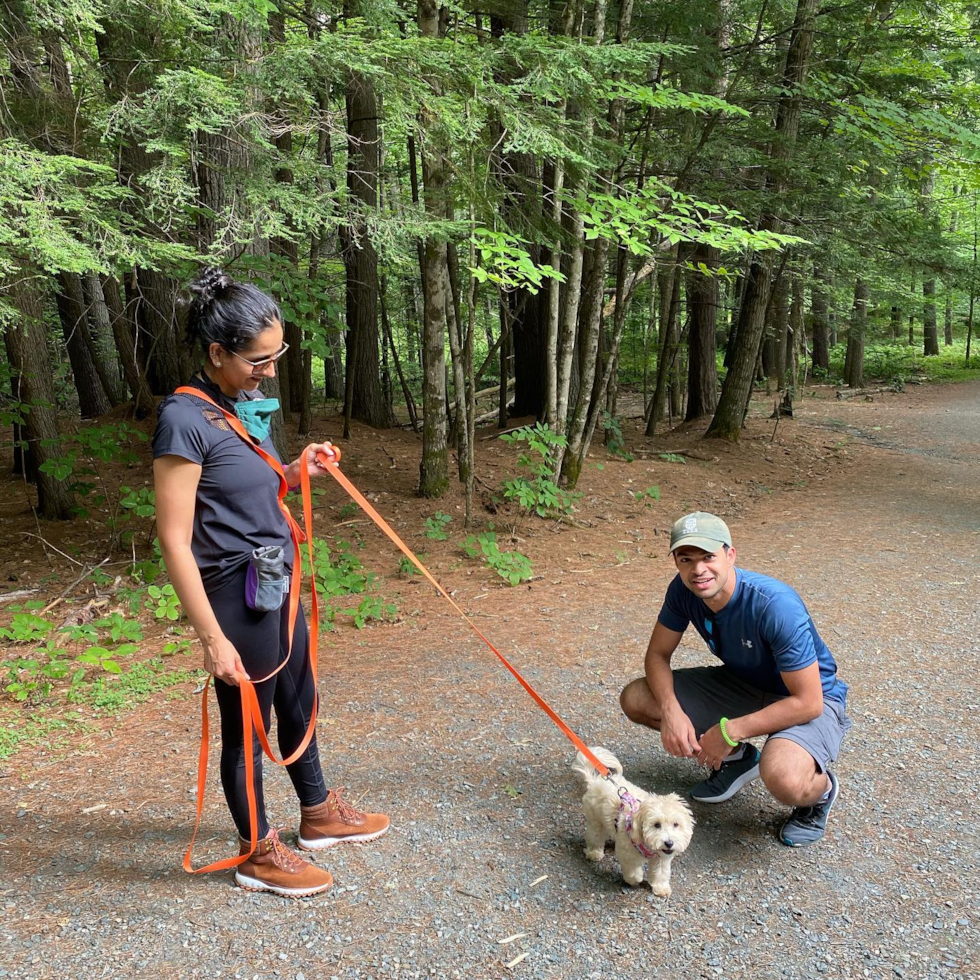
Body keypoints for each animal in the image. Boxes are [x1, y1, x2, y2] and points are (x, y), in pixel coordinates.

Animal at [572, 744, 692, 896]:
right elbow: (633, 872)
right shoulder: (627, 854)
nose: (669, 843)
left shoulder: (661, 858)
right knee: (595, 837)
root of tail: (596, 781)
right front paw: (635, 880)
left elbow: (661, 873)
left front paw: (661, 888)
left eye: (676, 824)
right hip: (595, 821)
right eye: (656, 825)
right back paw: (595, 853)